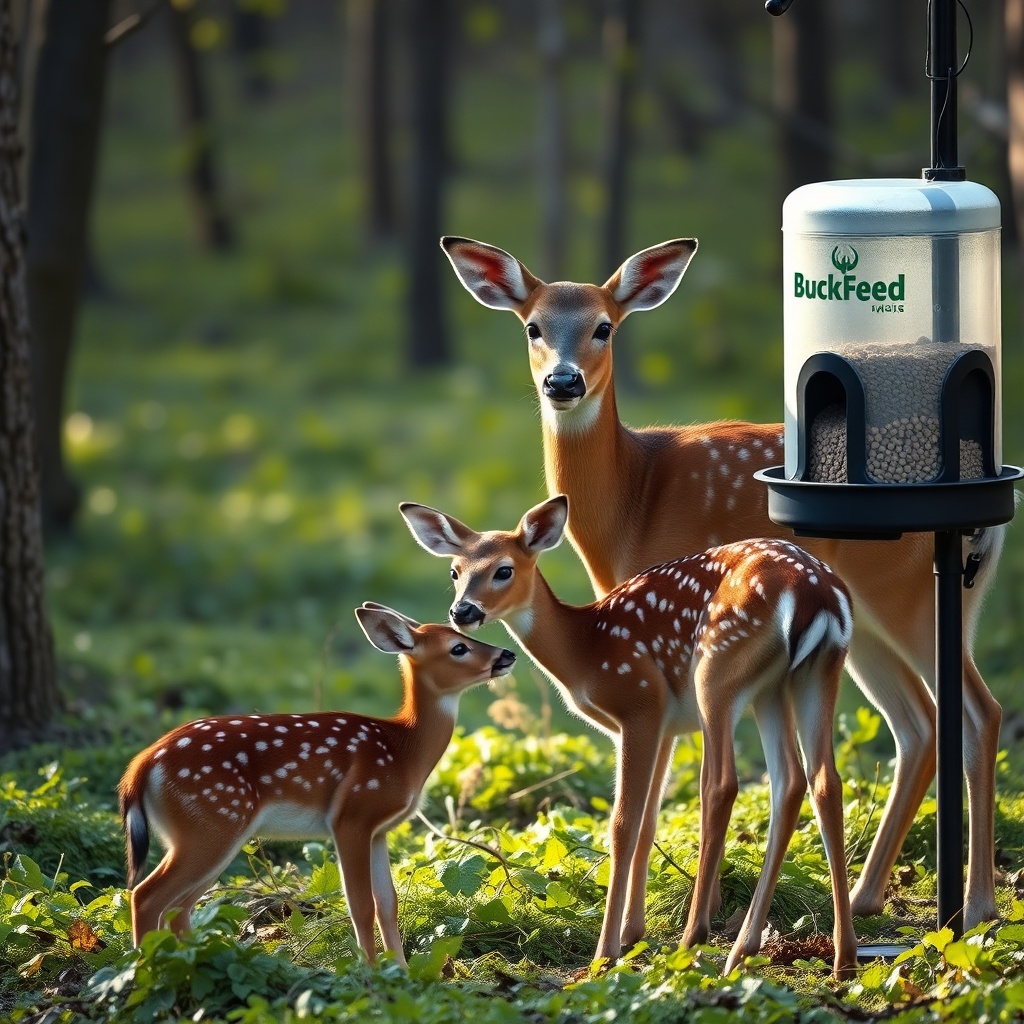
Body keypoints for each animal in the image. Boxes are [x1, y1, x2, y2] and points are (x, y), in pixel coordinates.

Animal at [118, 603, 516, 965]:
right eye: (458, 647)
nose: (507, 654)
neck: (402, 749)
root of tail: (143, 765)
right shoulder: (352, 815)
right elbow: (360, 904)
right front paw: (371, 972)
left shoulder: (380, 830)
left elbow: (388, 903)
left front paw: (401, 971)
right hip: (210, 821)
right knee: (146, 895)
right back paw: (142, 968)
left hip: (205, 832)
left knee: (180, 905)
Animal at [401, 495, 859, 978]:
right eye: (455, 571)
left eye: (503, 569)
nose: (462, 611)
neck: (585, 650)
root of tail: (814, 592)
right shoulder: (666, 725)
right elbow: (649, 819)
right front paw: (632, 935)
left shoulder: (639, 704)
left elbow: (623, 823)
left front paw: (605, 954)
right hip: (806, 675)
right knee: (812, 781)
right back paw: (825, 958)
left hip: (717, 669)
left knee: (723, 786)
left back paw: (695, 941)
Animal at [440, 234, 1007, 933]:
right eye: (532, 326)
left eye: (604, 327)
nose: (563, 381)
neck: (633, 501)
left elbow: (667, 787)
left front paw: (665, 923)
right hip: (875, 622)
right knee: (920, 724)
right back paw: (868, 898)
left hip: (911, 599)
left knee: (980, 712)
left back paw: (976, 905)